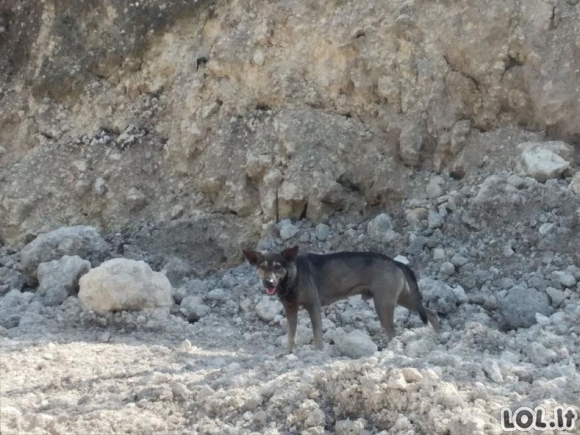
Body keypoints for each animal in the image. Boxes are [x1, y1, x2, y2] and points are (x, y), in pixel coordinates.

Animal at [242, 245, 442, 354]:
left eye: (277, 267)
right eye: (262, 267)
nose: (268, 282)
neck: (292, 275)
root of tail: (396, 262)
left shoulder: (313, 306)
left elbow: (317, 334)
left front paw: (318, 353)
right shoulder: (290, 309)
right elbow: (291, 336)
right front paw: (287, 353)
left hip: (383, 304)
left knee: (393, 332)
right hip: (403, 297)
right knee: (431, 312)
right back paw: (438, 337)